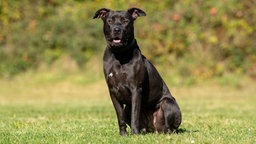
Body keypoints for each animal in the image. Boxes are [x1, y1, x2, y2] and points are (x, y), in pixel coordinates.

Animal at [93, 7, 181, 136]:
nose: (117, 29)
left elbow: (135, 114)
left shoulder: (136, 89)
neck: (120, 54)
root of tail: (154, 128)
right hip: (128, 108)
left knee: (171, 128)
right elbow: (120, 116)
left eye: (125, 21)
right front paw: (123, 135)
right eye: (109, 21)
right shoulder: (113, 92)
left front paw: (134, 134)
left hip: (168, 103)